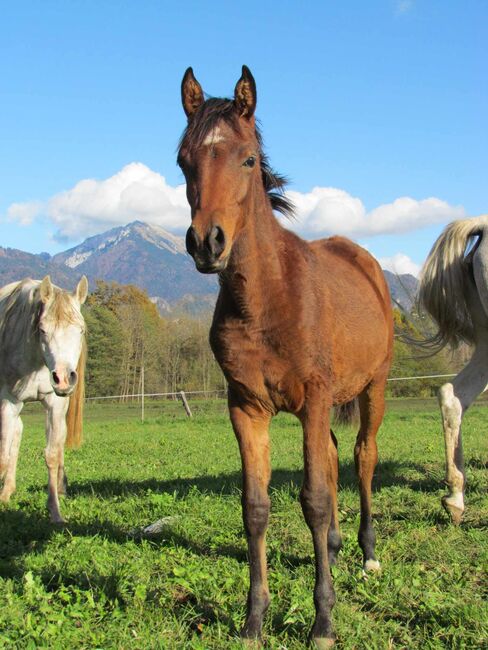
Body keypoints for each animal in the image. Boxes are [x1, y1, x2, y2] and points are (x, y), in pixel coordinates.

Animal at [0, 274, 86, 520]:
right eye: (43, 330)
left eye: (81, 330)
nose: (63, 378)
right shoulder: (9, 401)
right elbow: (2, 455)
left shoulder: (55, 403)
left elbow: (52, 455)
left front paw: (55, 512)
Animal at [177, 66, 394, 644]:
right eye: (183, 159)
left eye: (249, 159)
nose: (207, 243)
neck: (266, 301)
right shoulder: (247, 407)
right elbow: (256, 507)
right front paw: (254, 619)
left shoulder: (314, 400)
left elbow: (313, 500)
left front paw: (323, 621)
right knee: (337, 456)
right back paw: (336, 552)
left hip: (373, 387)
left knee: (363, 456)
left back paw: (365, 552)